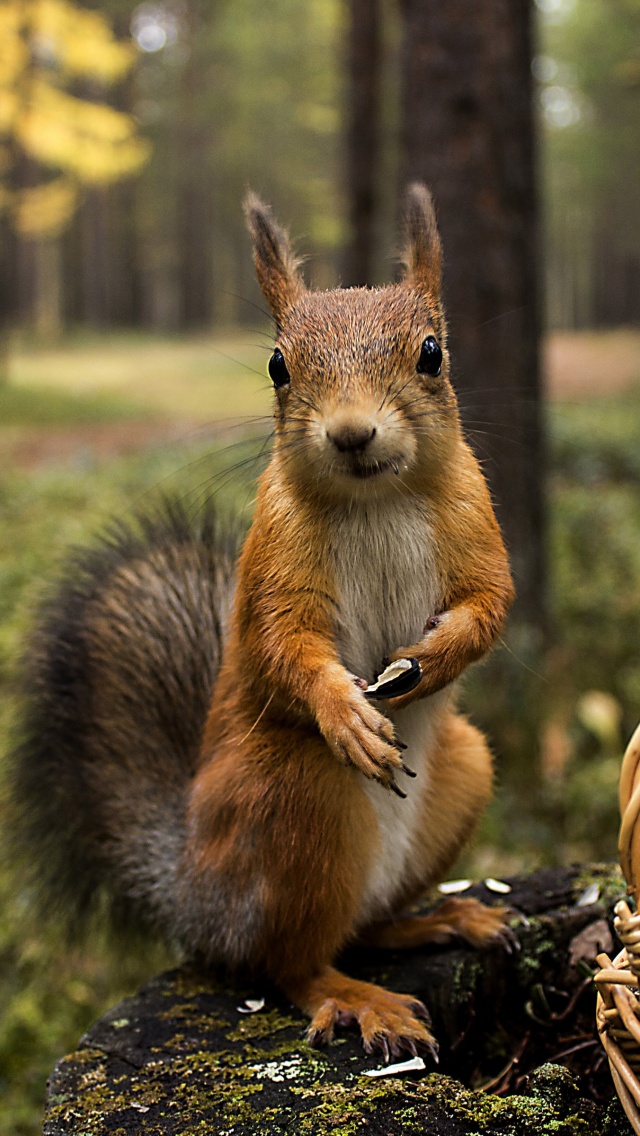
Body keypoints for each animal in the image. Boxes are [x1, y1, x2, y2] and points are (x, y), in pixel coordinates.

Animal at [7, 181, 516, 1058]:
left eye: (432, 353)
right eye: (279, 365)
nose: (351, 433)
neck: (377, 498)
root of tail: (195, 898)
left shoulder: (476, 525)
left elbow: (489, 605)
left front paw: (432, 660)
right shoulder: (275, 561)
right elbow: (284, 645)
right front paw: (347, 711)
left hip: (464, 771)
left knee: (361, 927)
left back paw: (441, 919)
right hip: (293, 796)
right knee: (289, 961)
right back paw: (358, 997)